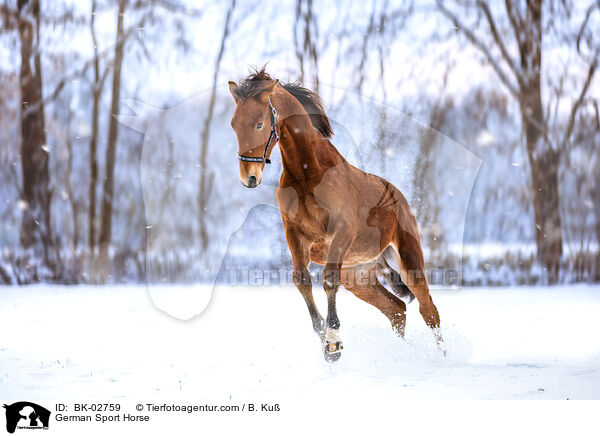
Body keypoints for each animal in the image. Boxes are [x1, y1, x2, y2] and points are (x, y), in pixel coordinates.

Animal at [227, 69, 442, 362]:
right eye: (234, 124)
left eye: (259, 124)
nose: (249, 178)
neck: (308, 174)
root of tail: (398, 196)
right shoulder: (295, 234)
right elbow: (301, 280)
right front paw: (323, 340)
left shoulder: (340, 233)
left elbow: (328, 280)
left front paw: (333, 342)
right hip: (359, 277)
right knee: (396, 308)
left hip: (408, 259)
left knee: (428, 309)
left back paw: (443, 356)